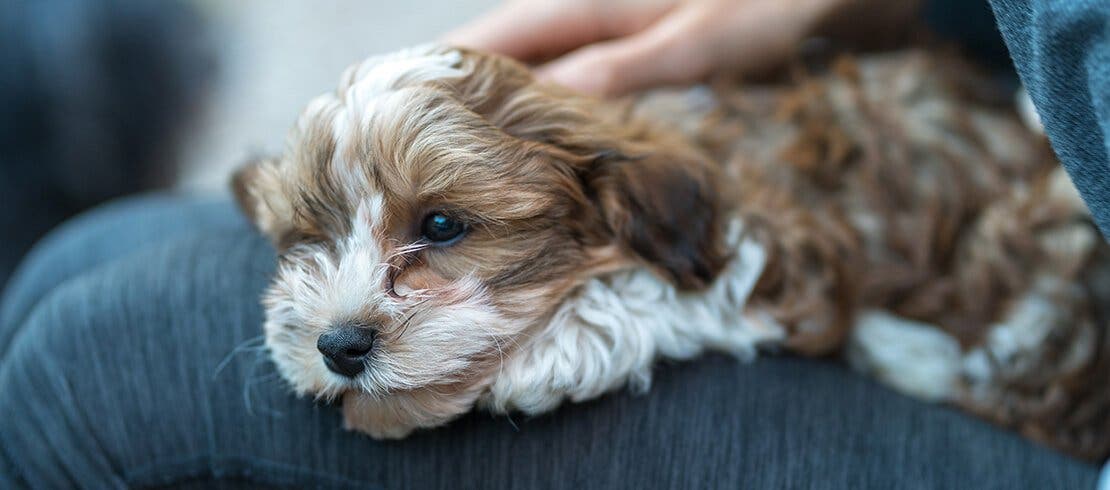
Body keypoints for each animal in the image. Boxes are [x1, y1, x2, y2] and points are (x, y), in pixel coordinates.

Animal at [234, 43, 1110, 457]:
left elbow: (660, 293)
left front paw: (550, 351)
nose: (340, 344)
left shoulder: (783, 249)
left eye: (443, 225)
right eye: (308, 238)